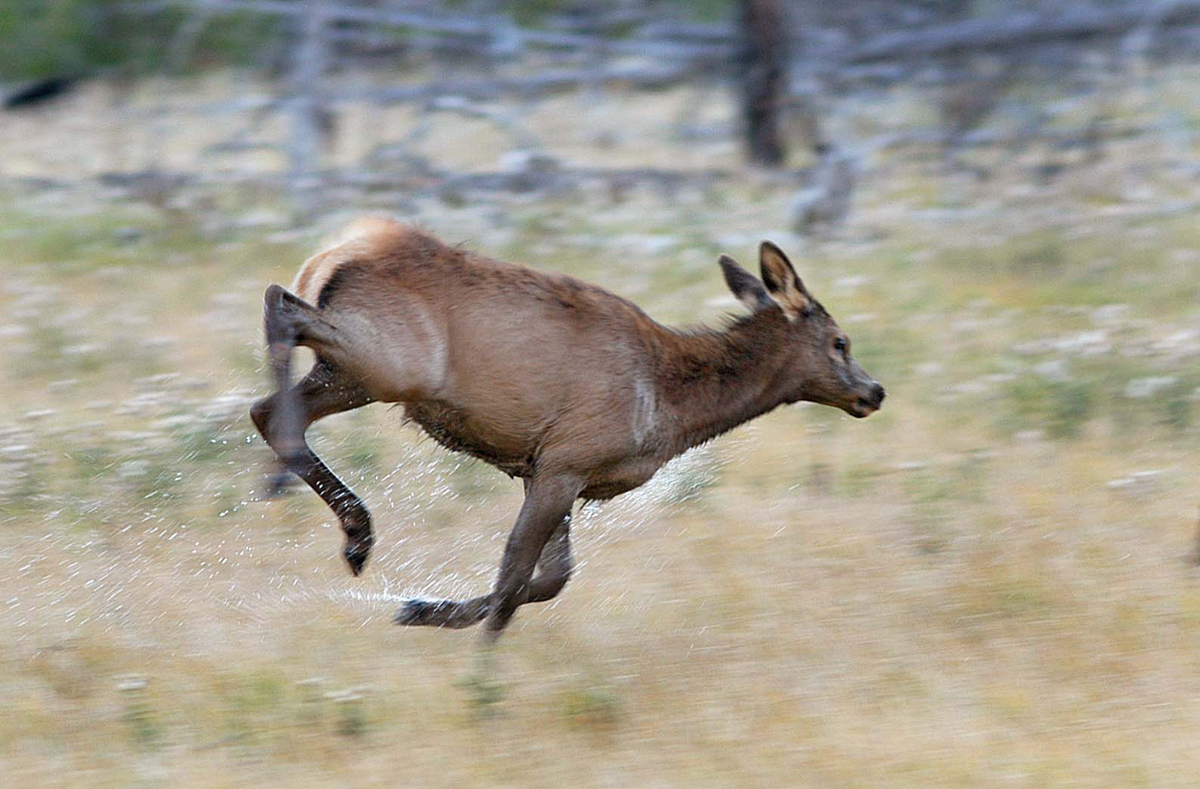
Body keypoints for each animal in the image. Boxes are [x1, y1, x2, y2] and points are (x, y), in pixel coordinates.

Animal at [250, 218, 885, 643]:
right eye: (841, 342)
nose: (873, 391)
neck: (673, 407)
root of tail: (336, 250)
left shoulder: (550, 469)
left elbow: (551, 579)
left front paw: (423, 609)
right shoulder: (569, 459)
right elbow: (515, 577)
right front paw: (481, 684)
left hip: (356, 374)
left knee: (269, 408)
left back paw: (339, 522)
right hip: (392, 361)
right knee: (278, 306)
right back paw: (323, 513)